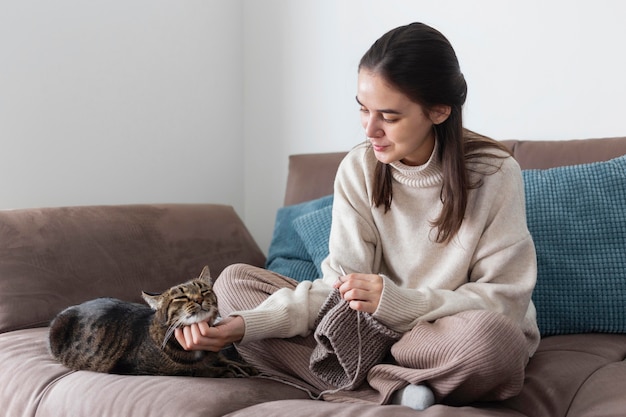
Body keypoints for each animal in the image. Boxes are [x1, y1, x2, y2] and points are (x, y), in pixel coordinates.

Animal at [45, 266, 256, 376]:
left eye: (204, 291)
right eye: (182, 297)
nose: (199, 299)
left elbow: (224, 360)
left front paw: (245, 367)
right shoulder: (152, 369)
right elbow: (200, 370)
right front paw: (229, 370)